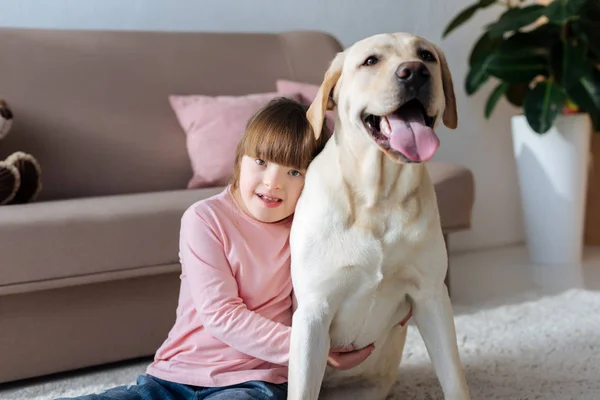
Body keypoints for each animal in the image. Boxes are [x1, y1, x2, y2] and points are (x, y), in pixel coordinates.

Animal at [288, 32, 472, 398]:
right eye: (371, 61)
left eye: (426, 55)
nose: (414, 72)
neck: (379, 199)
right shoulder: (313, 312)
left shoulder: (431, 297)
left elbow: (454, 378)